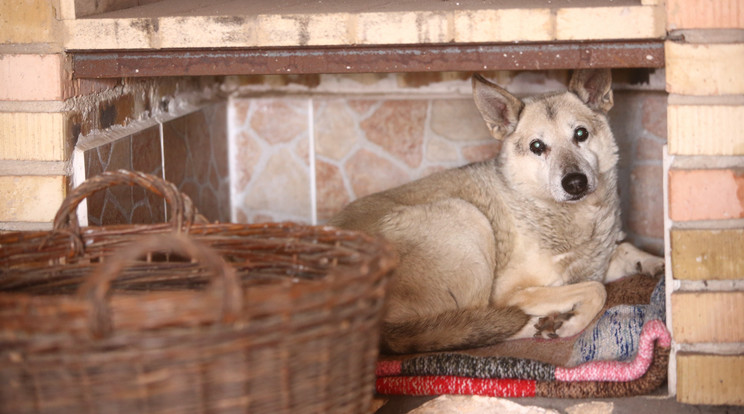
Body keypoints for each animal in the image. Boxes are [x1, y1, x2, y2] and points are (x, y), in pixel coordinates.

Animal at [328, 68, 664, 352]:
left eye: (580, 134)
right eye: (537, 147)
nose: (575, 182)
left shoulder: (600, 261)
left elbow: (625, 251)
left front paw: (656, 264)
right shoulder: (513, 292)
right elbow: (596, 290)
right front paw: (572, 323)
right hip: (467, 219)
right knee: (476, 323)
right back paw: (537, 324)